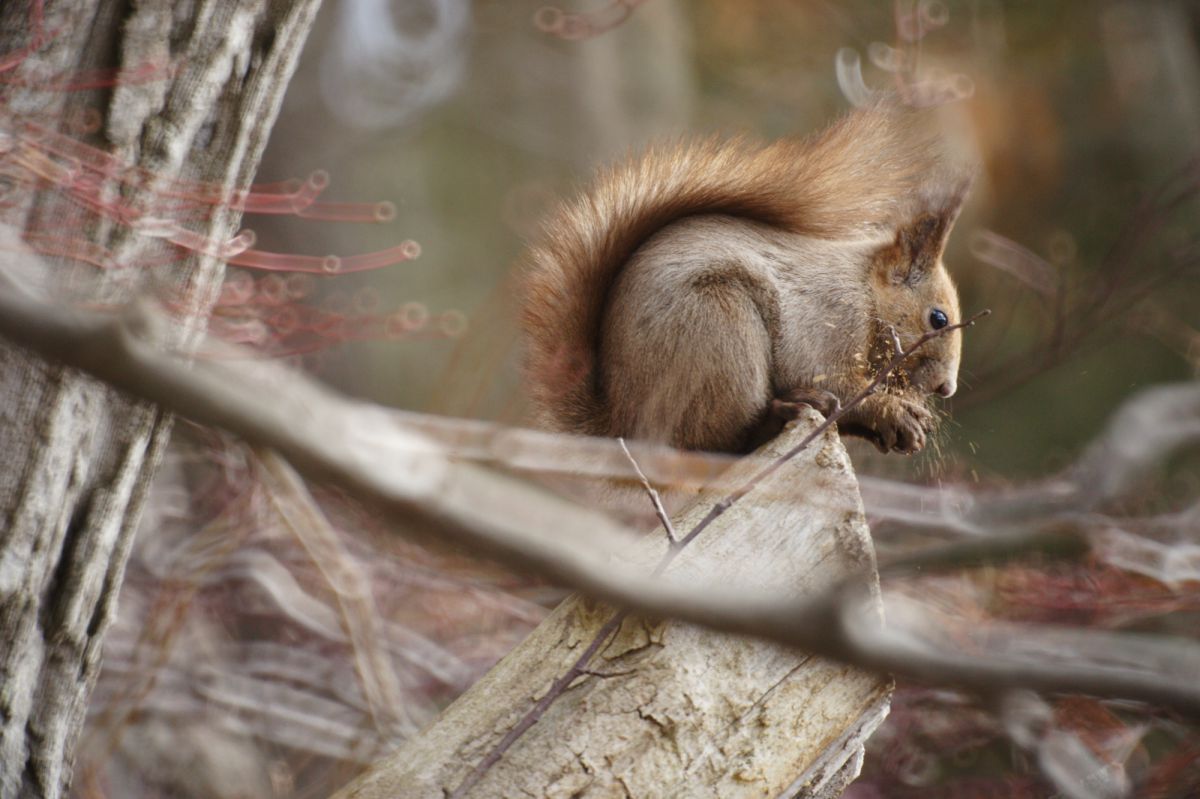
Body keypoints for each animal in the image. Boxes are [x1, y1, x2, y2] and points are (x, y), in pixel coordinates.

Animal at [520, 104, 969, 453]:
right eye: (938, 318)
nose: (946, 389)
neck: (865, 289)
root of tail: (625, 424)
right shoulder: (832, 317)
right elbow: (833, 381)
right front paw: (892, 411)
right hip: (718, 333)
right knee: (719, 440)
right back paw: (782, 414)